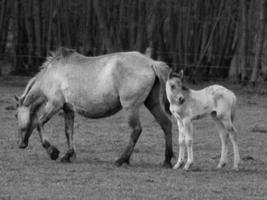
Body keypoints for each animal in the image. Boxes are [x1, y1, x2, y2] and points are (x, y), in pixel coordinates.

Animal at [15, 47, 174, 167]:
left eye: (16, 115)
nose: (20, 144)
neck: (52, 75)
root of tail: (151, 63)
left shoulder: (55, 105)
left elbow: (39, 123)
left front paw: (53, 151)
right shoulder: (68, 109)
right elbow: (68, 132)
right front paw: (68, 155)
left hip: (131, 107)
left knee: (136, 130)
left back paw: (121, 160)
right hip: (152, 104)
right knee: (166, 124)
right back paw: (166, 161)